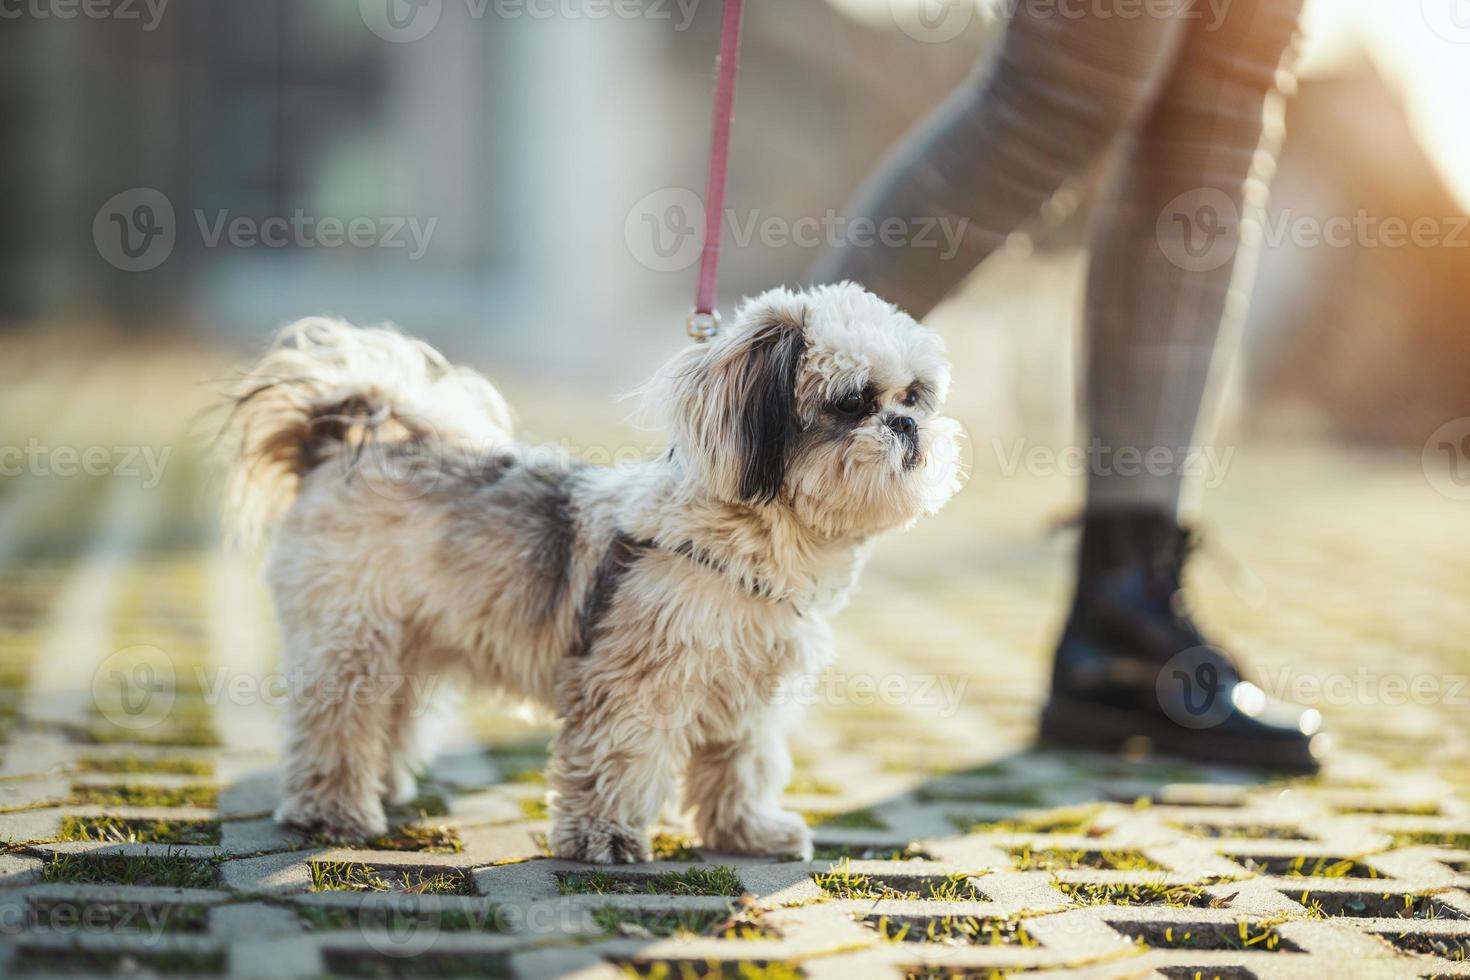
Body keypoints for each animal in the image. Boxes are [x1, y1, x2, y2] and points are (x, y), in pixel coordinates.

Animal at [220, 279, 964, 863]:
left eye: (915, 396)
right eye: (853, 402)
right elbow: (620, 760)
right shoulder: (635, 683)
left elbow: (740, 768)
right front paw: (605, 837)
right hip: (350, 638)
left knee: (389, 715)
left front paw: (746, 833)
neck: (754, 543)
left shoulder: (751, 695)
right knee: (336, 721)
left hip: (407, 642)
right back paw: (333, 810)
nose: (905, 426)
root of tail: (343, 438)